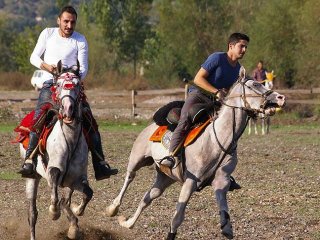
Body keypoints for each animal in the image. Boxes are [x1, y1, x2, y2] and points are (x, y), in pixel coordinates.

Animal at [19, 60, 92, 240]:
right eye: (58, 84)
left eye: (77, 84)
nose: (68, 109)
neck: (70, 139)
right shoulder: (53, 171)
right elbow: (56, 194)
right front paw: (54, 212)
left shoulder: (76, 179)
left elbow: (87, 194)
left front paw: (76, 217)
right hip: (32, 178)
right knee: (32, 213)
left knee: (66, 199)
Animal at [106, 66, 286, 239]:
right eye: (255, 84)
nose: (281, 98)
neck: (217, 139)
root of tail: (151, 125)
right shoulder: (190, 181)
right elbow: (177, 218)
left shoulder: (221, 181)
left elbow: (224, 211)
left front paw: (226, 228)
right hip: (137, 159)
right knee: (129, 178)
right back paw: (113, 208)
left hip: (165, 177)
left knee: (147, 197)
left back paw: (128, 223)